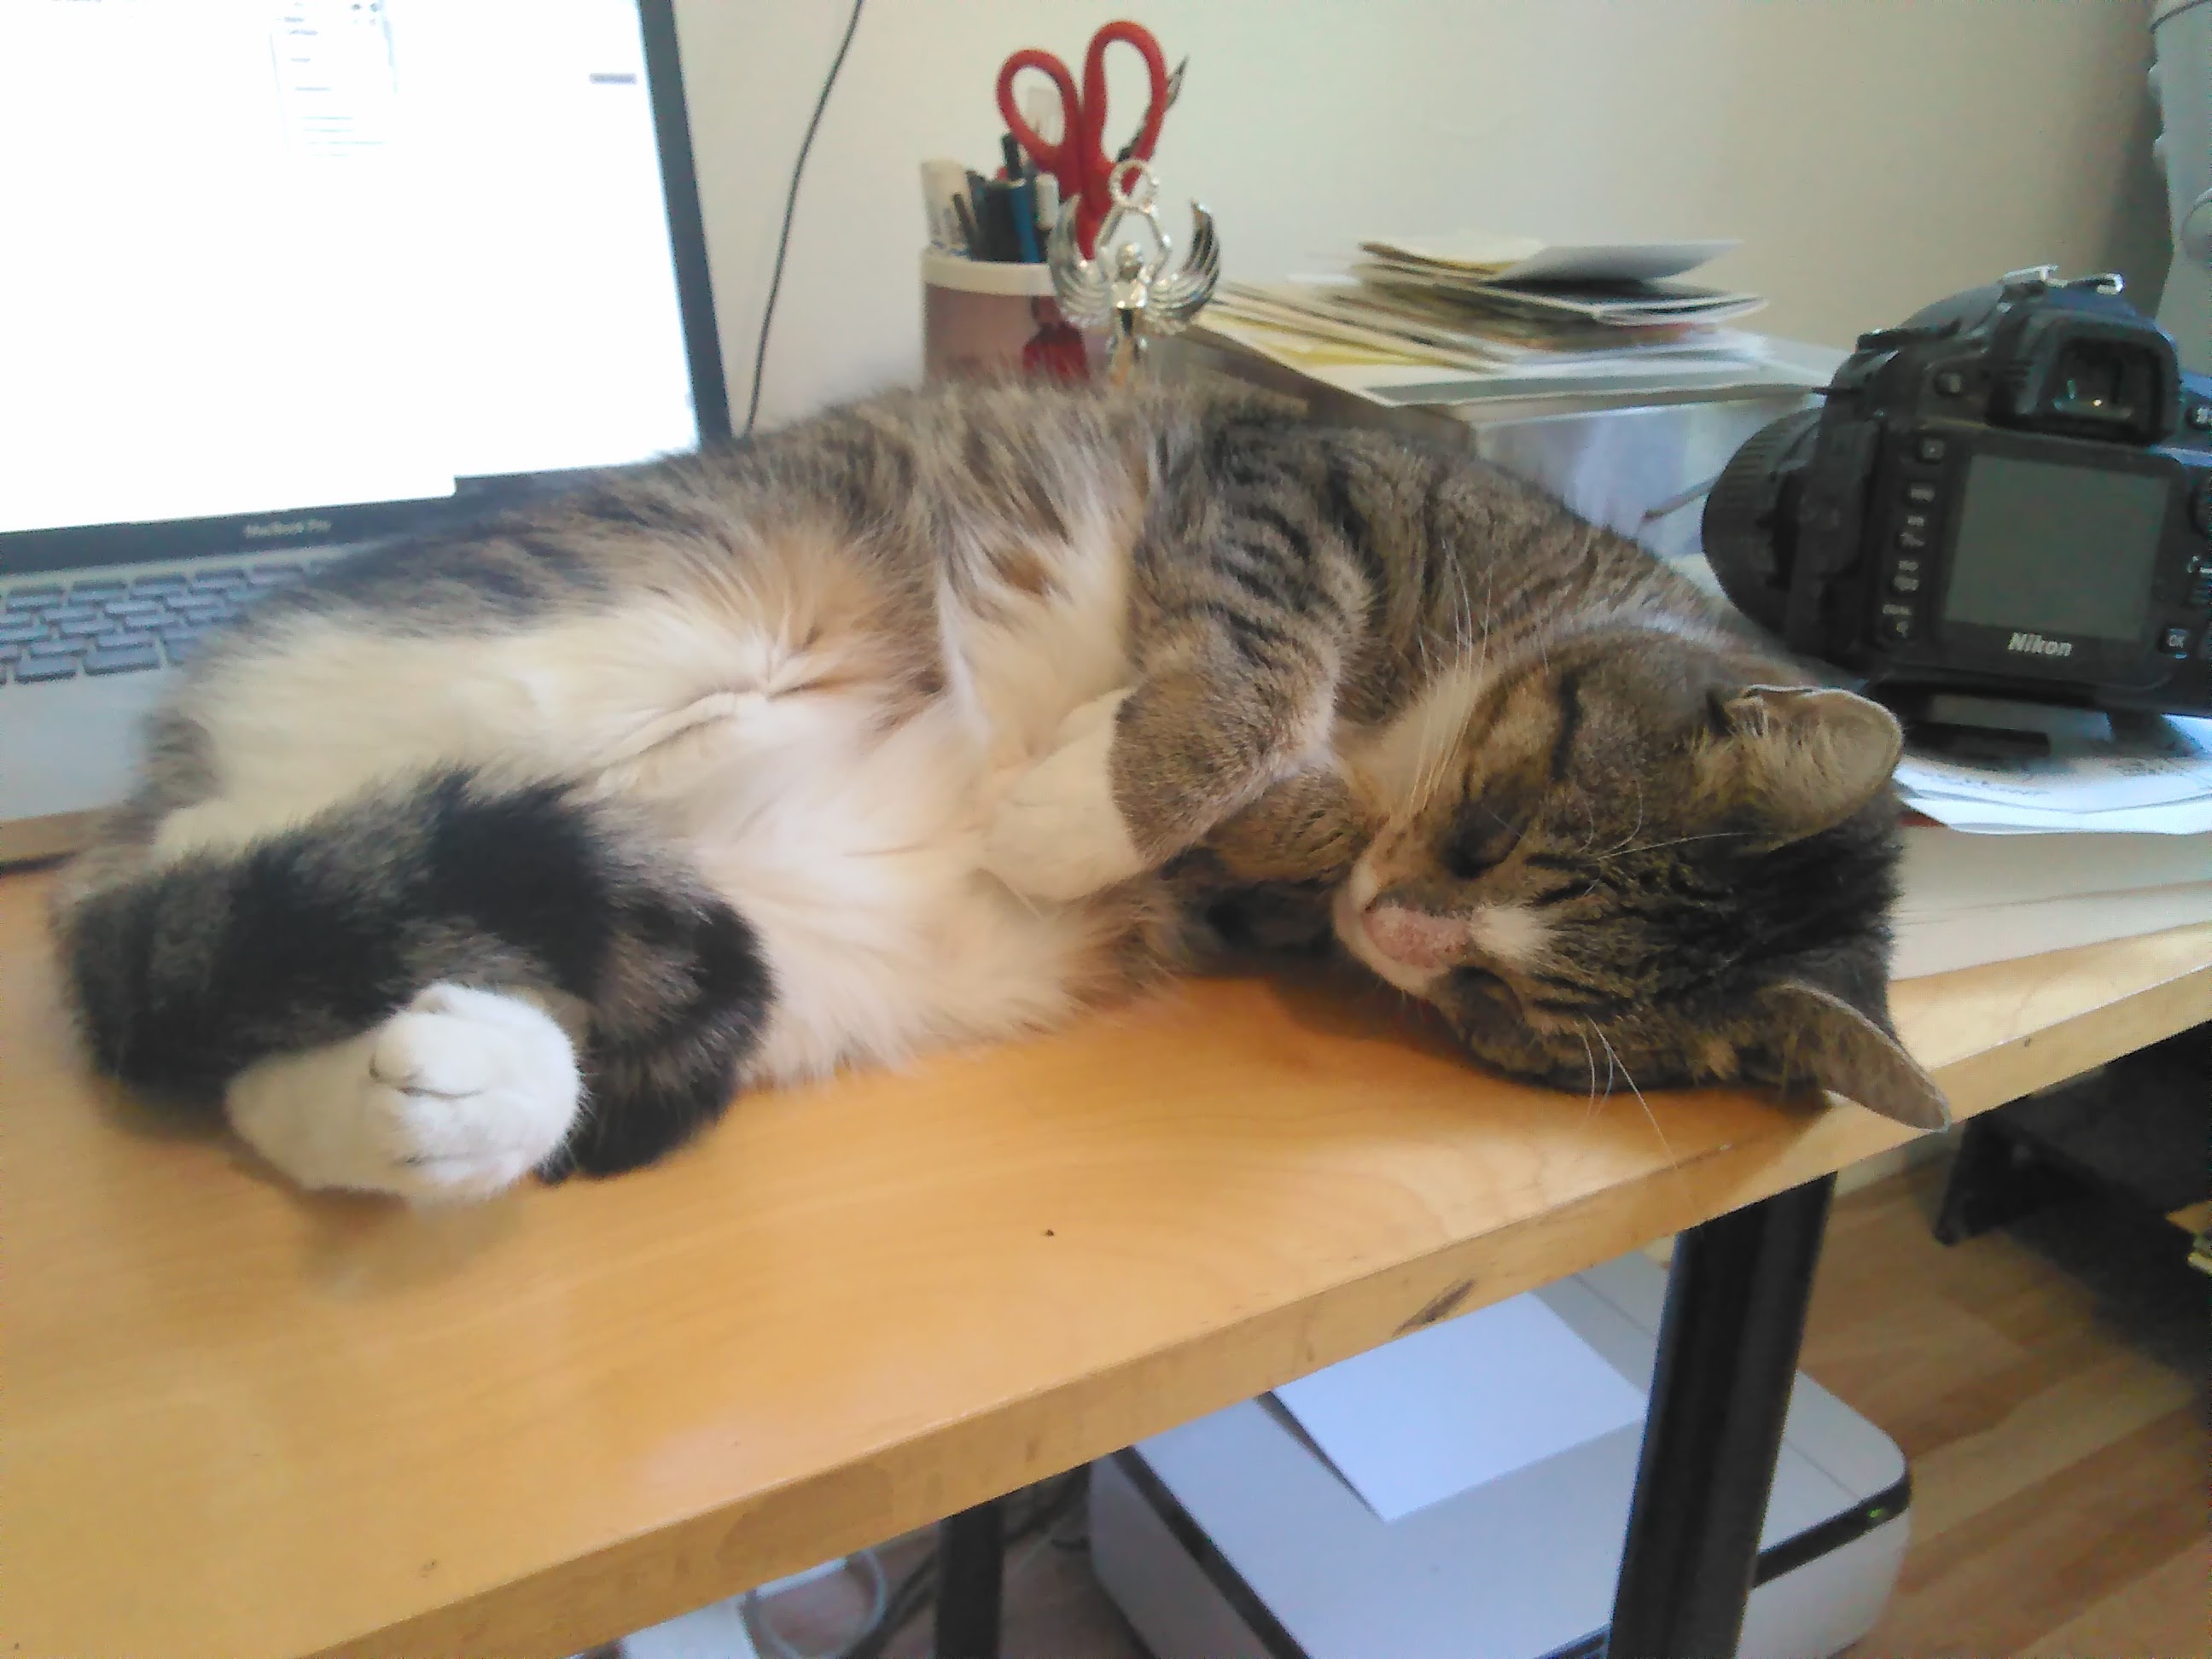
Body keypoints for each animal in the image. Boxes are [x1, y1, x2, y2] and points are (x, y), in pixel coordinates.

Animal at [47, 382, 1955, 1203]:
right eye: (1498, 821)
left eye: (1505, 1015)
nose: (1409, 930)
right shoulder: (1291, 482)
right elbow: (1249, 682)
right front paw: (1099, 784)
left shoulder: (1279, 903)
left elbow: (1275, 829)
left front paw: (1097, 788)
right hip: (664, 630)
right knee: (169, 891)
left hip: (816, 943)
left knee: (287, 1016)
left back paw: (429, 1098)